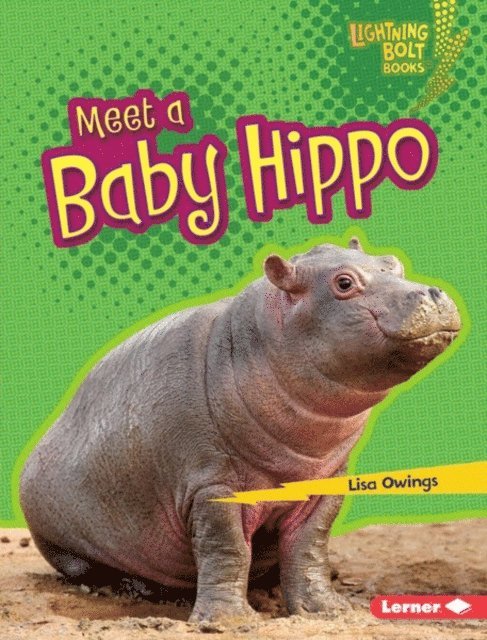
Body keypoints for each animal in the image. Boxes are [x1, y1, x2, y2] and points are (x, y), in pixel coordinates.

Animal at [20, 238, 461, 623]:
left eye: (393, 263)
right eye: (344, 283)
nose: (433, 293)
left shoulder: (325, 484)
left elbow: (309, 547)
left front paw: (327, 609)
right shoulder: (211, 485)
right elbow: (227, 548)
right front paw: (228, 620)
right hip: (66, 543)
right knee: (92, 569)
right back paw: (135, 589)